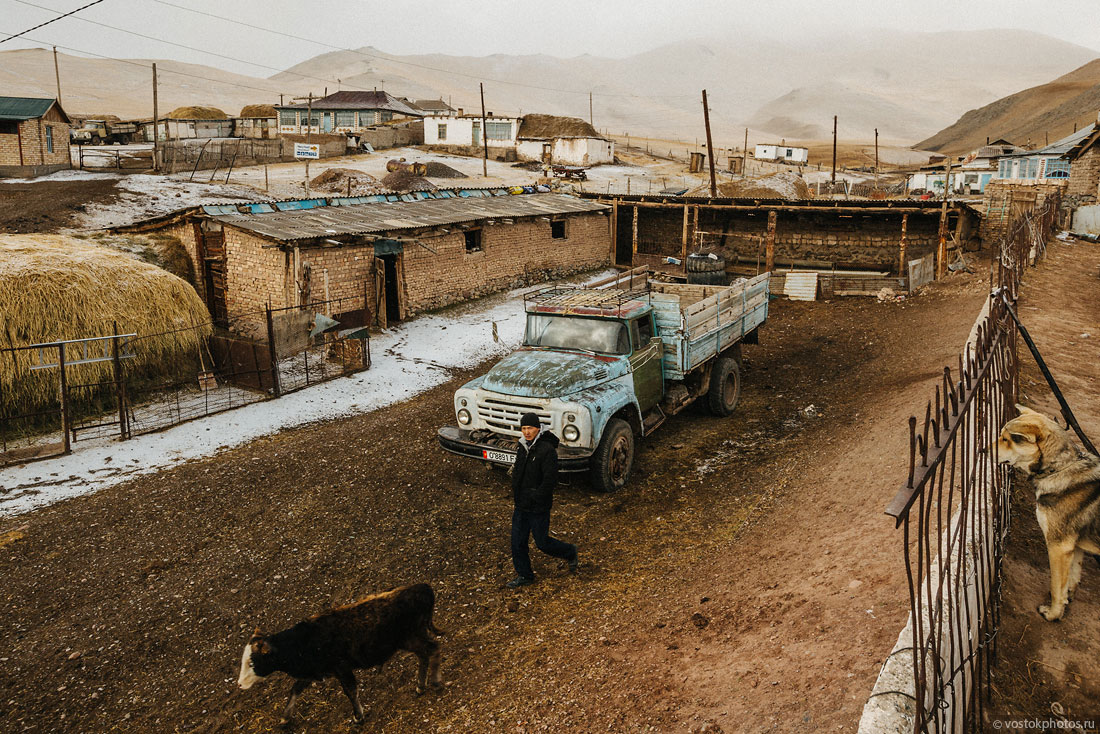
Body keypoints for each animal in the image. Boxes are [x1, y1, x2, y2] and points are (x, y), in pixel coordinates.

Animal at [238, 581, 444, 726]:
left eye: (252, 661)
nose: (239, 684)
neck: (303, 642)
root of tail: (423, 587)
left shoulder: (341, 668)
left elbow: (350, 690)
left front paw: (358, 717)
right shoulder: (314, 670)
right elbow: (295, 689)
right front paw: (285, 718)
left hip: (411, 637)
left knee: (433, 649)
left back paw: (435, 681)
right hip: (413, 638)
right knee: (424, 654)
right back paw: (420, 686)